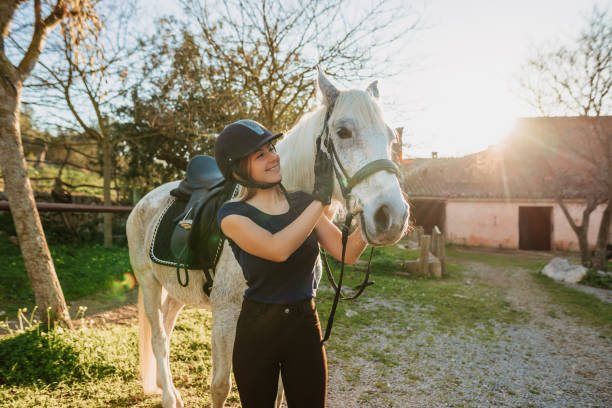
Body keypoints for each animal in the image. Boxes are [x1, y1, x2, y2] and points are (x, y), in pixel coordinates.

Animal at [125, 71, 408, 408]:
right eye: (343, 132)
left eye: (391, 138)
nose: (392, 216)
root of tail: (144, 201)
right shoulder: (225, 315)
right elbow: (220, 386)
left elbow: (279, 390)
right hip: (148, 283)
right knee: (158, 338)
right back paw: (169, 397)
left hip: (176, 290)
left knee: (166, 328)